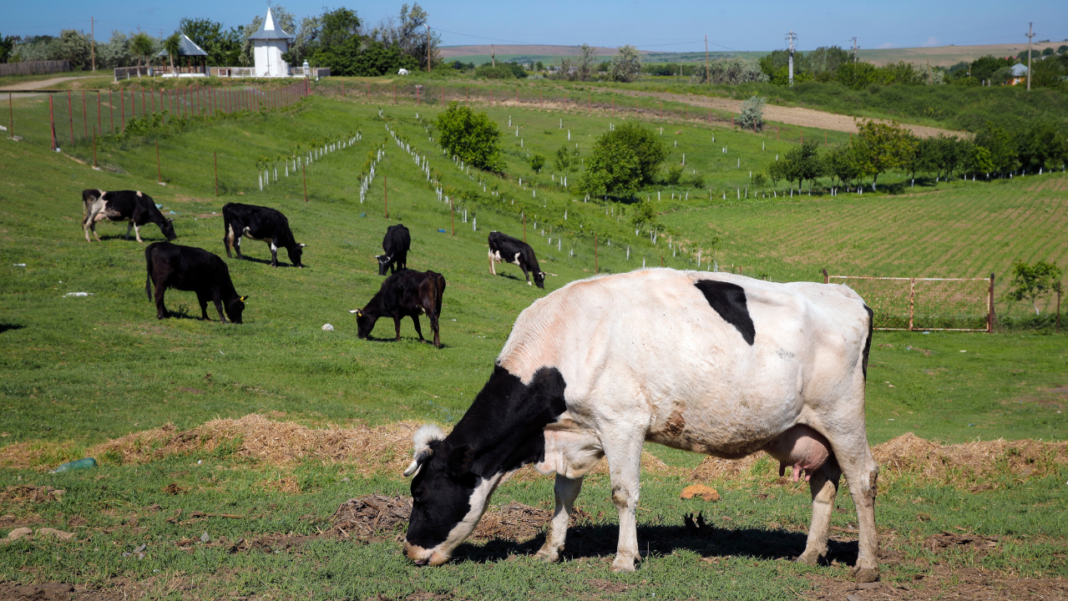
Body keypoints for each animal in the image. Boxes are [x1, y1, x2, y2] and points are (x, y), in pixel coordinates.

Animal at [397, 271, 880, 584]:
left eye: (421, 493)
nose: (410, 550)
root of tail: (848, 294)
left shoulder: (623, 422)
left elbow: (622, 494)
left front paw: (625, 559)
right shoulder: (578, 433)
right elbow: (563, 493)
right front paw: (549, 550)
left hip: (843, 416)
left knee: (862, 480)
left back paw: (868, 565)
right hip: (812, 431)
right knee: (824, 486)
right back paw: (810, 554)